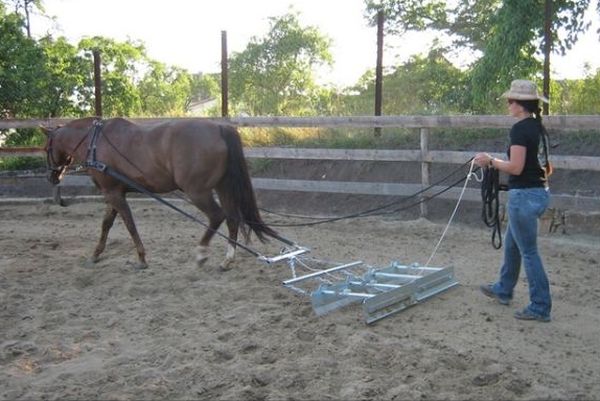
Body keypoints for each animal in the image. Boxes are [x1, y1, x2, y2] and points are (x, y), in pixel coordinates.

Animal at [44, 117, 276, 270]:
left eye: (46, 148)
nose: (53, 177)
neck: (95, 142)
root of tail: (219, 127)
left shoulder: (113, 193)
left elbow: (129, 224)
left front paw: (141, 258)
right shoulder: (113, 193)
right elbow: (106, 224)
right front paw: (96, 254)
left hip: (197, 191)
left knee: (217, 216)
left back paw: (202, 253)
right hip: (222, 186)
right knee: (232, 218)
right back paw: (227, 259)